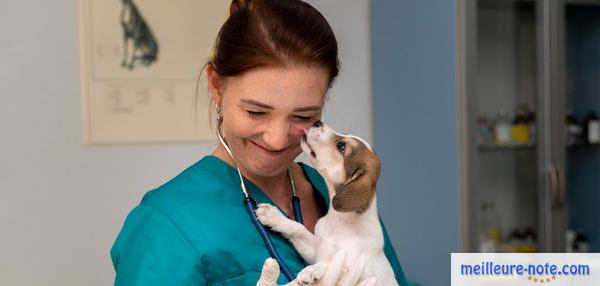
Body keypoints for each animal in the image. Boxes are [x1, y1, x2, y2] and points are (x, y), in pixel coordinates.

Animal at [254, 120, 398, 286]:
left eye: (341, 146)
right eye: (345, 135)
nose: (317, 122)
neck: (339, 222)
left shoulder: (359, 270)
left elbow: (332, 265)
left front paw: (311, 270)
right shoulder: (315, 250)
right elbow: (298, 228)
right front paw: (274, 216)